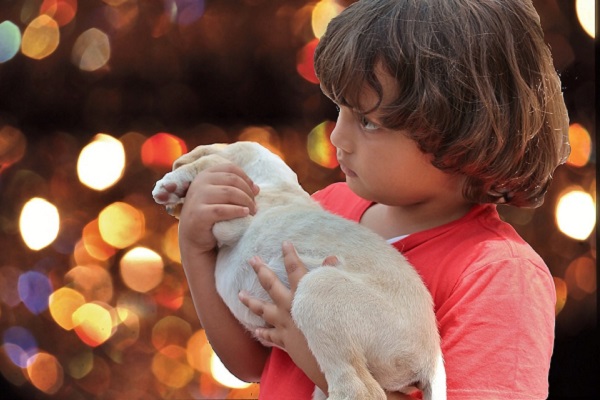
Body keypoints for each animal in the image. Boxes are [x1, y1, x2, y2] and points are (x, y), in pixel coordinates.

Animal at [154, 142, 446, 400]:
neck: (276, 183)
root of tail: (431, 358)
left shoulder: (238, 218)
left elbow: (209, 164)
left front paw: (173, 184)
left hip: (318, 288)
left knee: (361, 391)